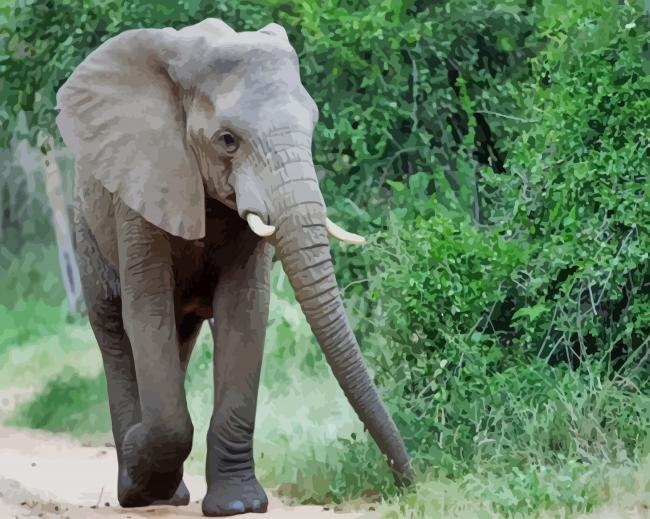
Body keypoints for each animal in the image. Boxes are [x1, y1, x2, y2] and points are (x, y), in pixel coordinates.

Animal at [55, 18, 413, 517]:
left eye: (312, 125)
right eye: (228, 140)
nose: (408, 483)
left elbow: (244, 312)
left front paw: (239, 504)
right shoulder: (140, 190)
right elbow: (146, 311)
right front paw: (140, 462)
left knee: (180, 337)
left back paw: (168, 491)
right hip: (86, 227)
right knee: (113, 329)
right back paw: (137, 489)